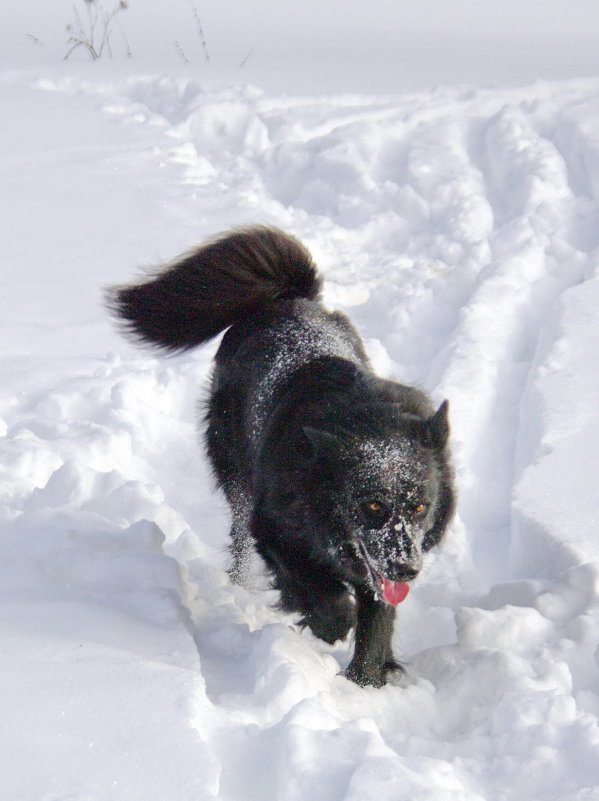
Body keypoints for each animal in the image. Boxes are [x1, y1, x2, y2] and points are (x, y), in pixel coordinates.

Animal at [109, 227, 454, 688]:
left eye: (419, 507)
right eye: (372, 506)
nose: (407, 569)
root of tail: (285, 298)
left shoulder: (379, 566)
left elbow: (377, 624)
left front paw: (365, 683)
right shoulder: (273, 527)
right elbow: (316, 590)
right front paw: (332, 623)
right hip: (236, 473)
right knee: (239, 540)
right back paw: (244, 588)